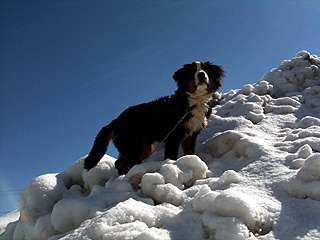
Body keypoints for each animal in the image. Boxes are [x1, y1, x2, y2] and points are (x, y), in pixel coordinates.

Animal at [85, 61, 225, 174]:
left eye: (206, 70)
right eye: (192, 72)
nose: (201, 74)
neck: (192, 102)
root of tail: (116, 120)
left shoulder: (191, 135)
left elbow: (190, 153)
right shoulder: (174, 136)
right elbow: (171, 155)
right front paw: (172, 166)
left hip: (142, 145)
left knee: (120, 162)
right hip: (135, 144)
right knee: (128, 162)